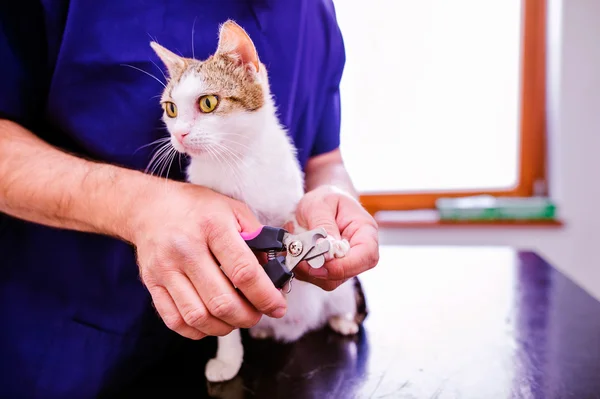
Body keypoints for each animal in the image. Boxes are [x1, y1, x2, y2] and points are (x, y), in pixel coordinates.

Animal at [149, 20, 366, 382]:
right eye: (171, 109)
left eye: (208, 103)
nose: (178, 134)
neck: (234, 163)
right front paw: (228, 359)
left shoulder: (287, 200)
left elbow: (299, 224)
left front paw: (331, 242)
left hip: (343, 293)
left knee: (342, 301)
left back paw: (343, 320)